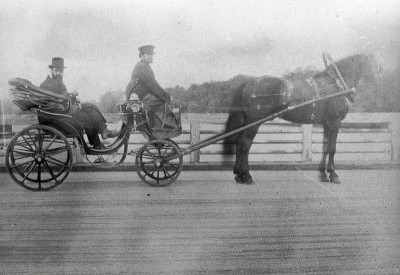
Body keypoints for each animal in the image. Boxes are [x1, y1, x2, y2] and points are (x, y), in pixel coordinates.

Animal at [225, 52, 378, 184]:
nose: (377, 78)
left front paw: (323, 174)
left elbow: (325, 148)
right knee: (245, 144)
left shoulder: (326, 123)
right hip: (254, 123)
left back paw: (239, 175)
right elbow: (332, 148)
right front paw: (333, 175)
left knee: (239, 143)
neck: (336, 86)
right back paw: (246, 176)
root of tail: (249, 82)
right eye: (374, 64)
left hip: (247, 121)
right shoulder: (335, 122)